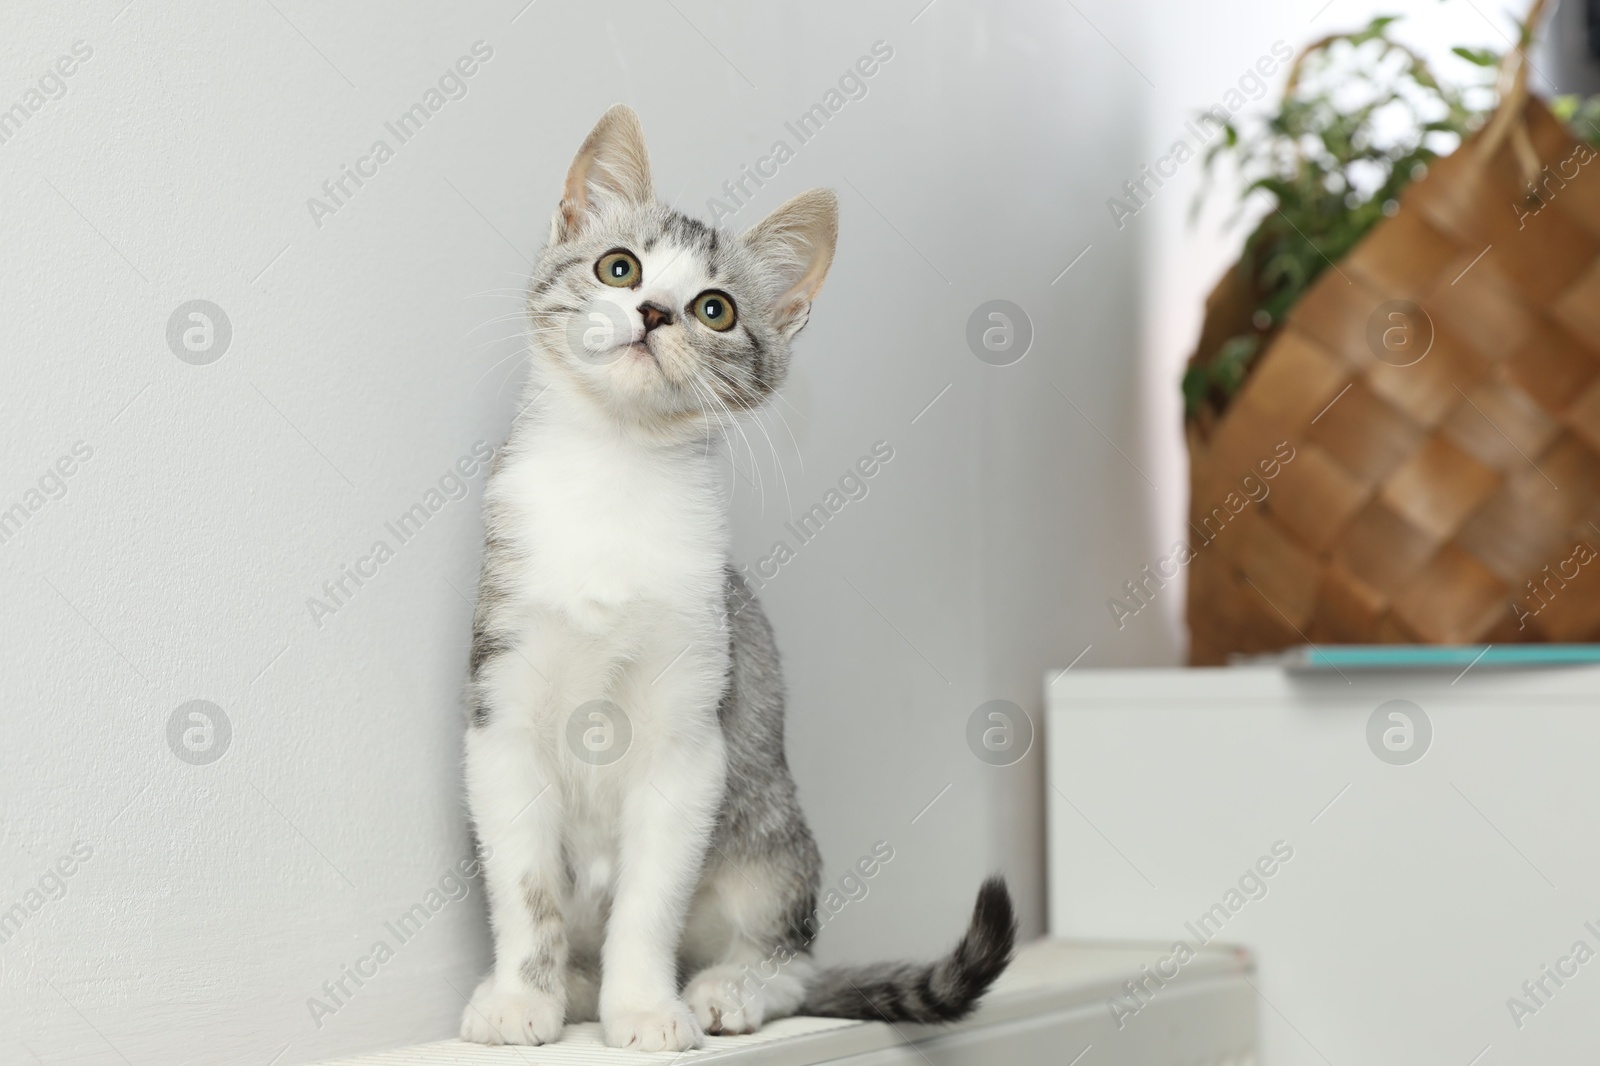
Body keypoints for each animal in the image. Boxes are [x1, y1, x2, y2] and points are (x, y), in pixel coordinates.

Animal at [457, 104, 1017, 1049]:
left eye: (714, 310)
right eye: (619, 266)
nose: (653, 312)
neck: (614, 478)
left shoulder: (691, 737)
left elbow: (650, 900)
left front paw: (646, 1007)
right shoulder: (502, 712)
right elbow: (524, 887)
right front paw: (523, 995)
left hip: (770, 843)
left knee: (789, 955)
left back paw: (728, 988)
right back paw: (575, 984)